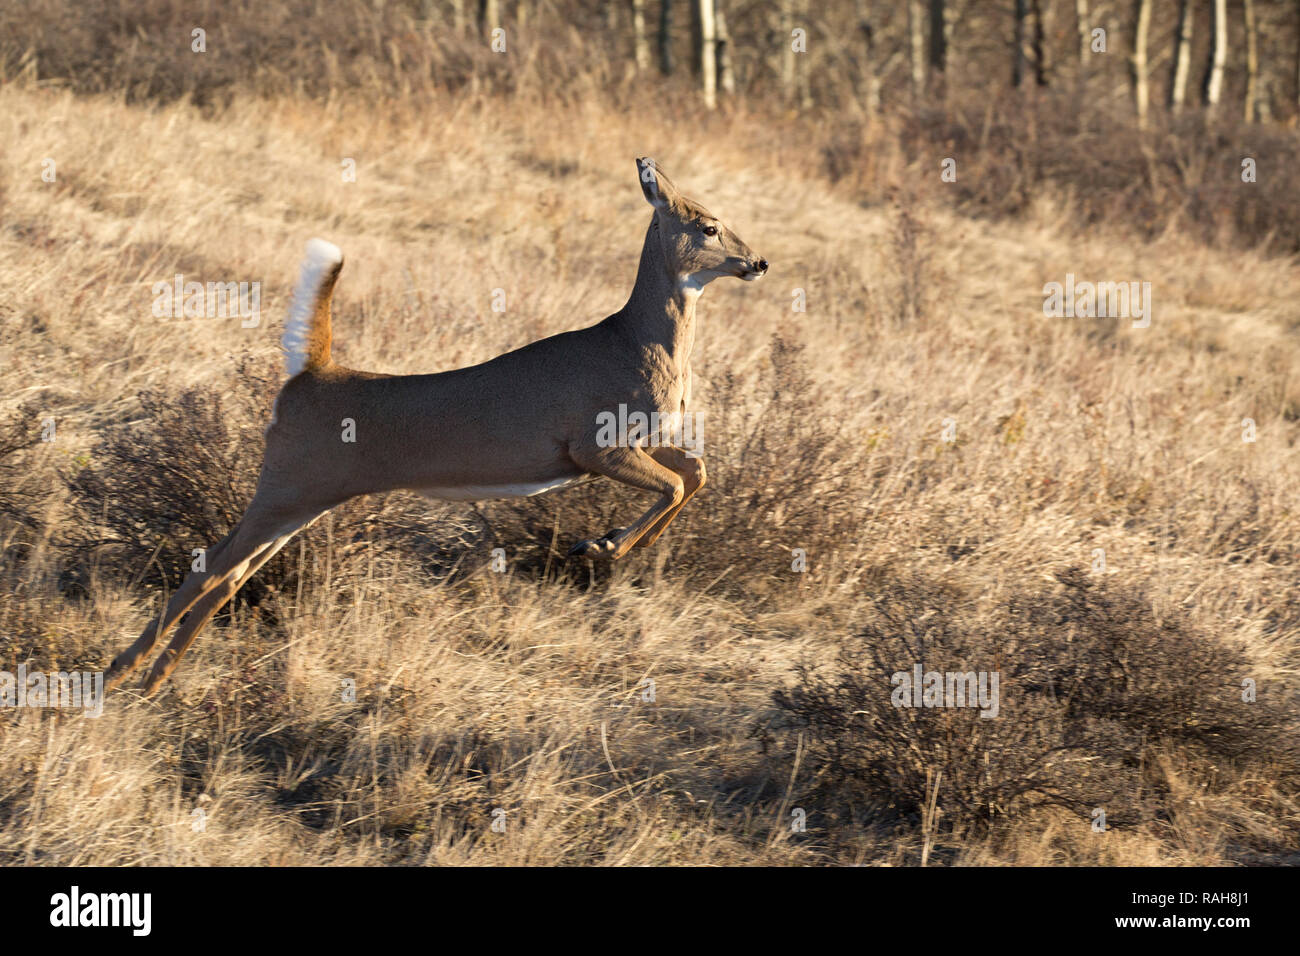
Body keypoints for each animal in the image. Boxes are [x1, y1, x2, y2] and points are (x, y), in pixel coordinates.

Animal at [109, 157, 769, 697]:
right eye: (708, 226)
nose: (759, 261)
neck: (637, 342)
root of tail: (308, 374)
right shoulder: (591, 444)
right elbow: (677, 483)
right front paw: (601, 545)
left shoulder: (633, 441)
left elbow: (695, 471)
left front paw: (609, 543)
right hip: (289, 485)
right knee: (214, 567)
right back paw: (131, 675)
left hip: (302, 497)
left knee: (229, 569)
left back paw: (144, 675)